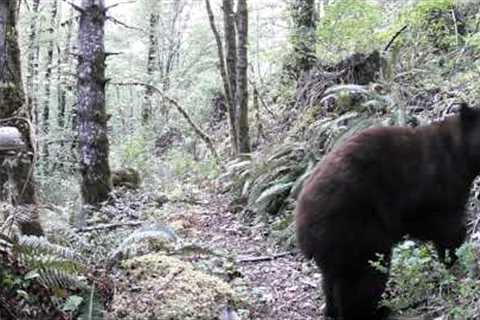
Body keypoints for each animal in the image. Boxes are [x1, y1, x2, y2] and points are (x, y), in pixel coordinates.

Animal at [294, 104, 478, 318]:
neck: (459, 151)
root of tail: (302, 228)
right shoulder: (437, 184)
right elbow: (444, 225)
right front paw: (454, 256)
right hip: (354, 229)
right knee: (366, 274)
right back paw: (375, 310)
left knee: (332, 279)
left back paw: (332, 310)